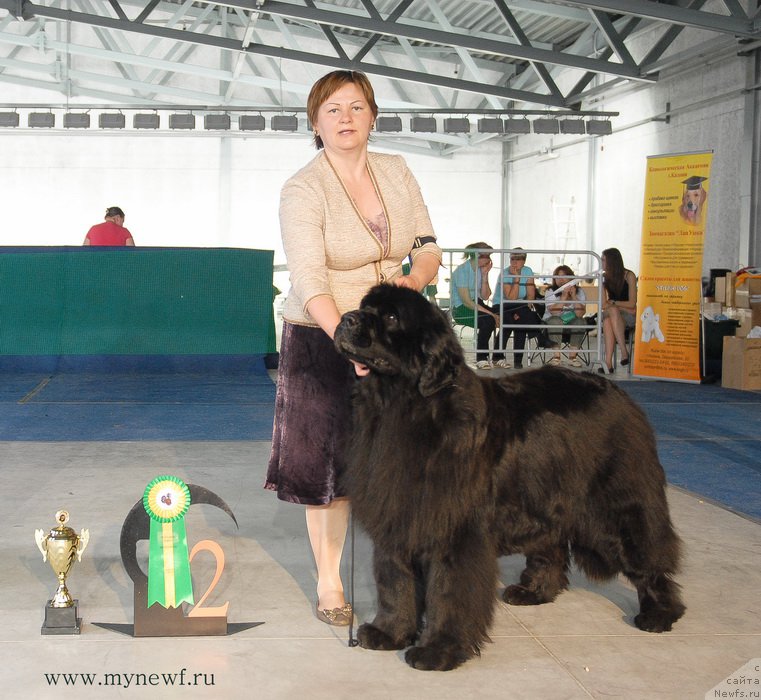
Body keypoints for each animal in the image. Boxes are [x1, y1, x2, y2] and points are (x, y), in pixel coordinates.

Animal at [332, 284, 684, 672]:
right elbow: (395, 582)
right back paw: (533, 591)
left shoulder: (456, 531)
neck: (404, 408)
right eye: (364, 307)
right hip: (546, 498)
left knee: (648, 556)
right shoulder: (398, 516)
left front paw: (438, 650)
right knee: (550, 546)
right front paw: (389, 633)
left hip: (616, 507)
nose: (346, 318)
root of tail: (621, 396)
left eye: (392, 317)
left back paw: (659, 613)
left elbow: (448, 592)